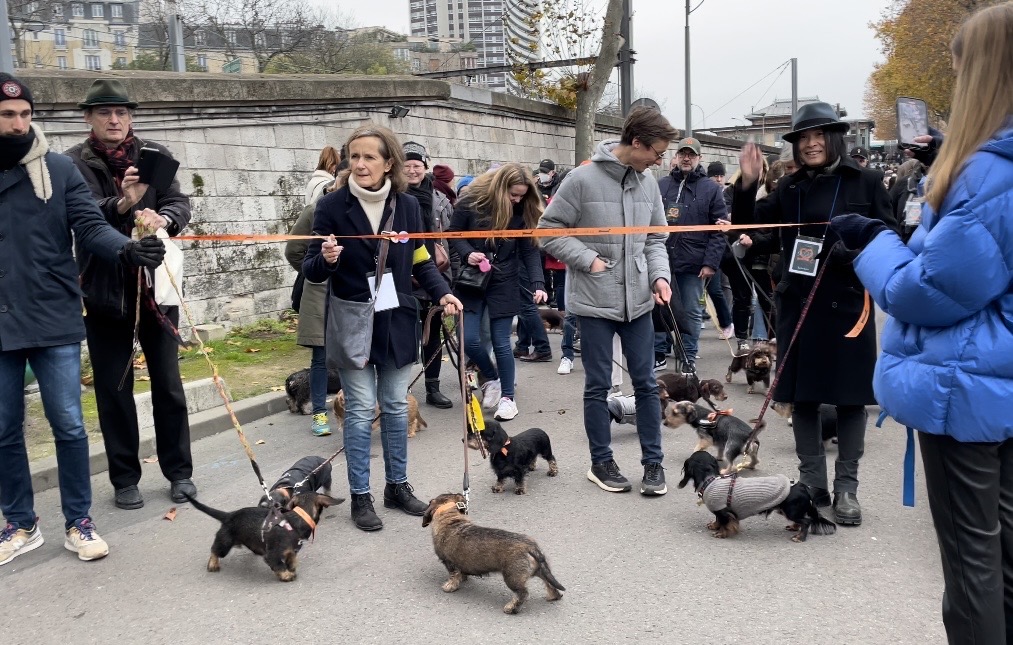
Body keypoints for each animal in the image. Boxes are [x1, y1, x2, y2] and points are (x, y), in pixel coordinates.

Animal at [417, 492, 563, 615]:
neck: (450, 517)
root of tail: (530, 546)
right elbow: (461, 573)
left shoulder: (449, 563)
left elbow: (453, 575)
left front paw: (449, 586)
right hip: (540, 570)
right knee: (549, 583)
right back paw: (553, 596)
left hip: (512, 577)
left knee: (523, 593)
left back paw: (511, 608)